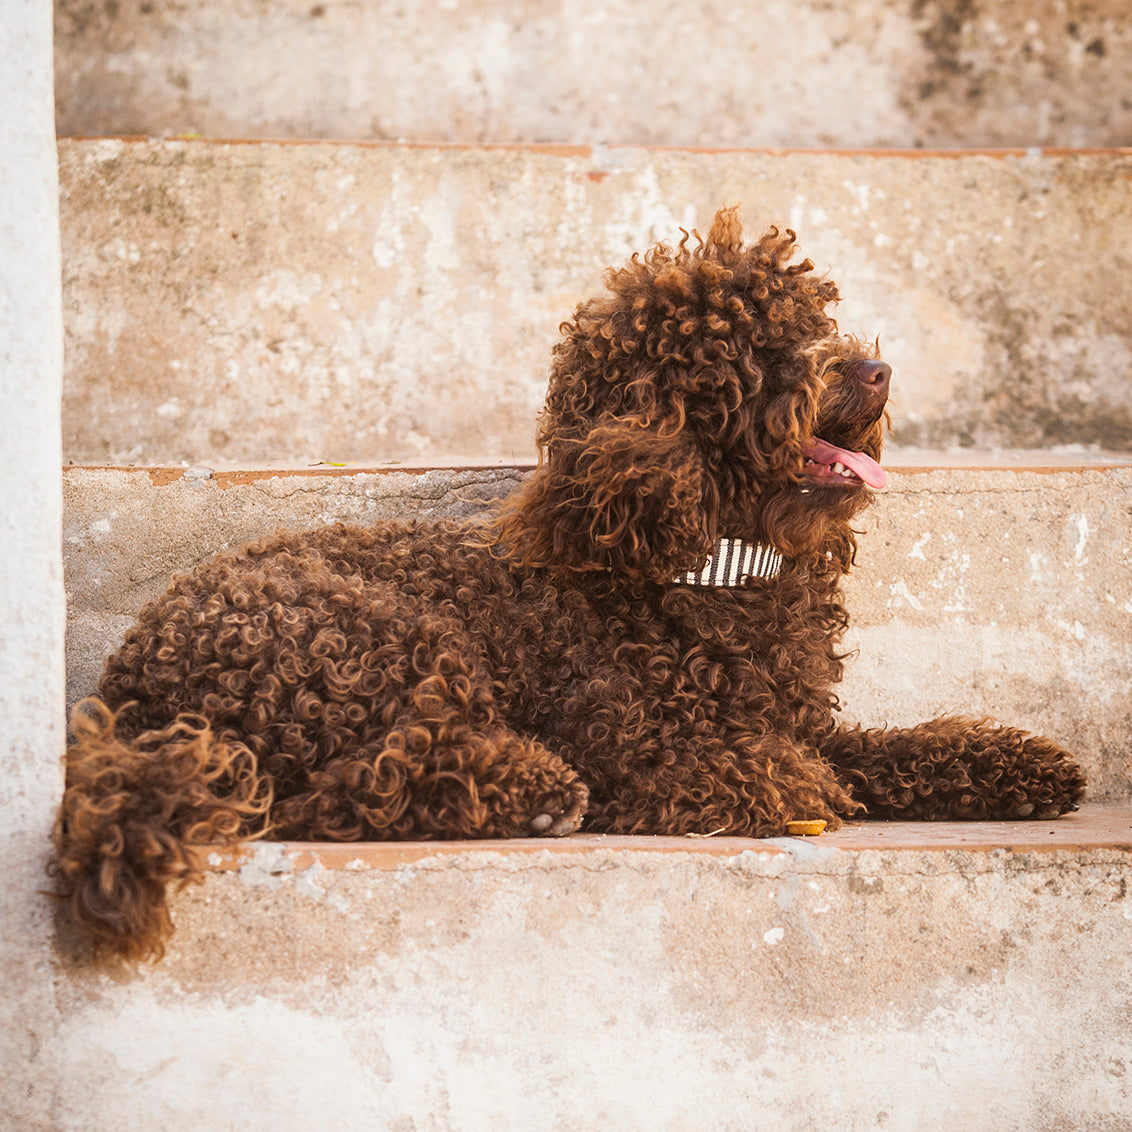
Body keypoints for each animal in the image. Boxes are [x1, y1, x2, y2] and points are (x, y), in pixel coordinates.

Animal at [53, 203, 1086, 955]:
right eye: (755, 352)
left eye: (818, 321)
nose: (875, 368)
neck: (709, 572)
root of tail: (130, 690)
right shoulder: (644, 752)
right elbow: (773, 770)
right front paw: (803, 786)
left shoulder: (807, 721)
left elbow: (892, 749)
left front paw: (1017, 765)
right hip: (377, 638)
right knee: (341, 792)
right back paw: (532, 789)